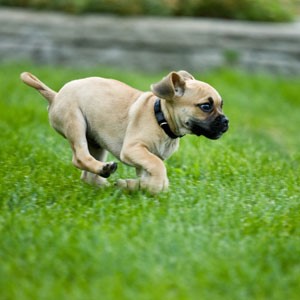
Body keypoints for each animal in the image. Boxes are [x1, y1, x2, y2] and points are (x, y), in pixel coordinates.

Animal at [19, 69, 229, 195]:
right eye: (206, 106)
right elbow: (159, 171)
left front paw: (132, 186)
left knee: (87, 176)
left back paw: (104, 181)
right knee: (79, 157)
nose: (226, 121)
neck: (161, 118)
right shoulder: (134, 150)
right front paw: (148, 186)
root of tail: (54, 96)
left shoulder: (144, 162)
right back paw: (104, 173)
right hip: (75, 122)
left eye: (221, 105)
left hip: (96, 142)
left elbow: (150, 177)